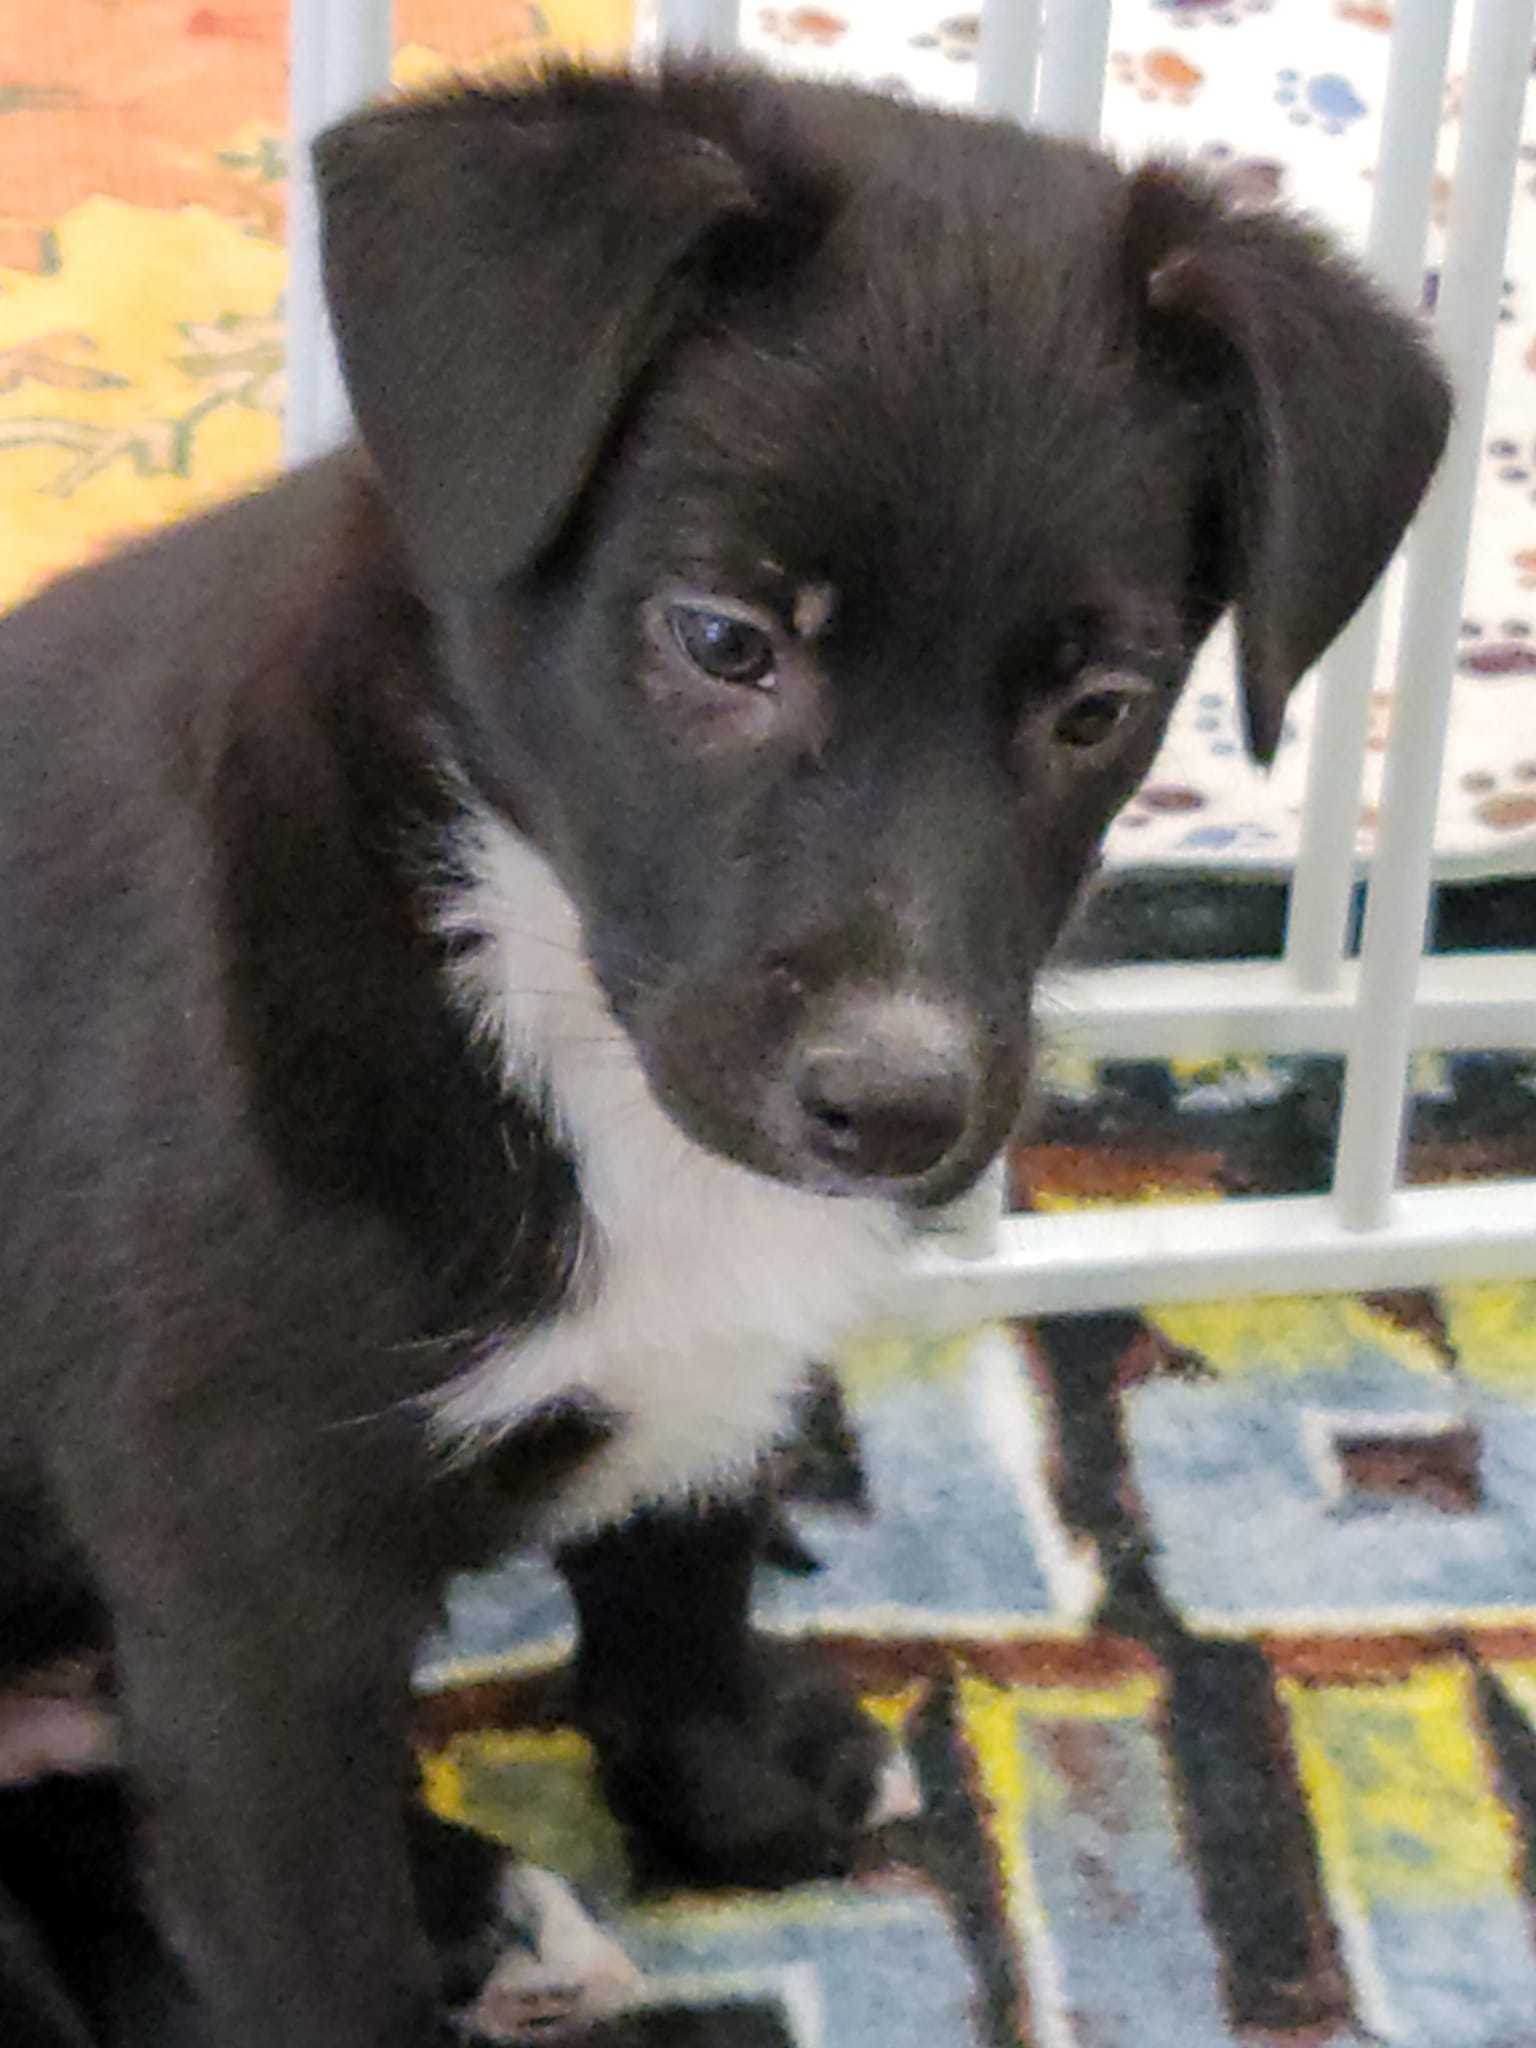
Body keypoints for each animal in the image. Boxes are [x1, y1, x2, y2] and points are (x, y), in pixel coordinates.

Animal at [0, 56, 1449, 2048]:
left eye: (1099, 706)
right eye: (721, 638)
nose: (896, 1106)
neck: (519, 965)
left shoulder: (716, 1359)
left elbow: (679, 1584)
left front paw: (737, 1805)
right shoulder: (241, 1580)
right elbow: (307, 1943)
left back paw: (488, 1909)